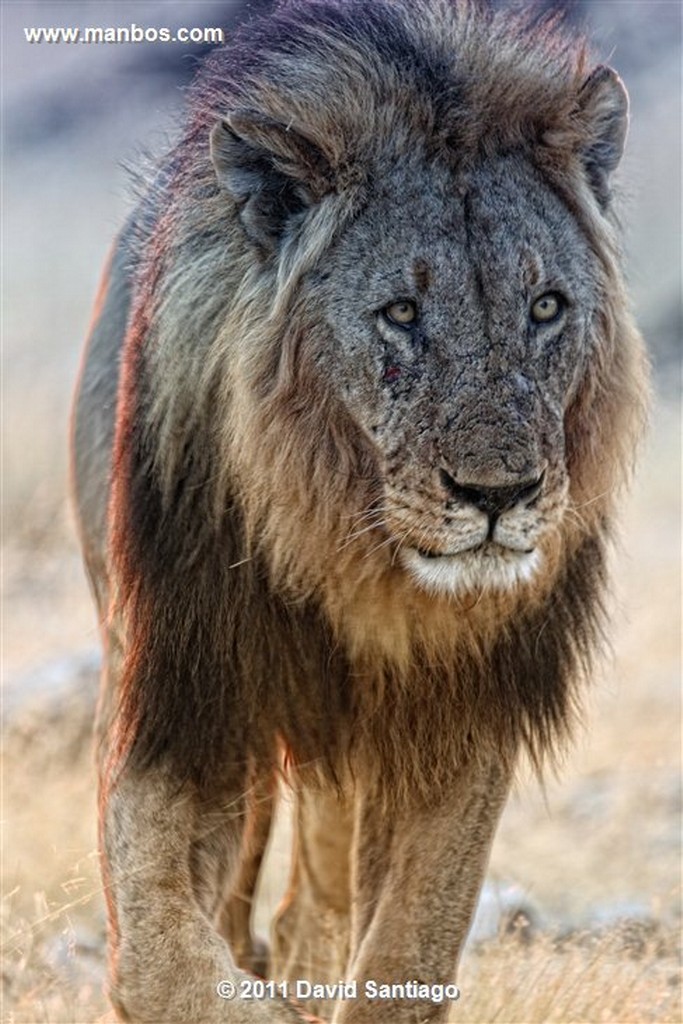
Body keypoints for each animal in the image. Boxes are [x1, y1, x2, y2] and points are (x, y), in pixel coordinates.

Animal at [72, 2, 651, 1024]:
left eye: (546, 306)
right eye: (401, 313)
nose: (497, 494)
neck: (349, 556)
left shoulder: (465, 718)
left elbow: (408, 945)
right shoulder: (178, 692)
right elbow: (156, 952)